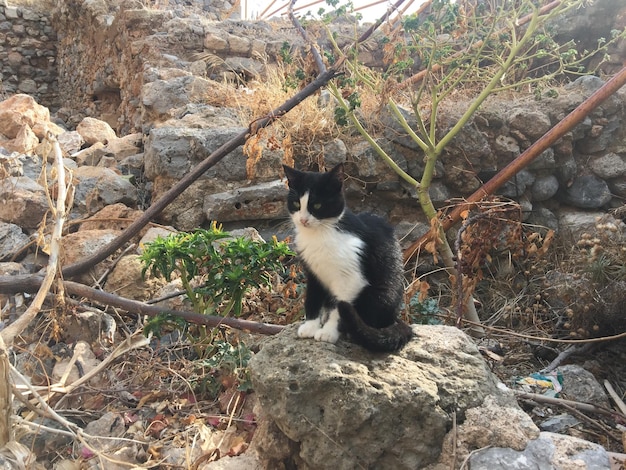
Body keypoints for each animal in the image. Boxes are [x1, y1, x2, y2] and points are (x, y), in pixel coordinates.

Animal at [282, 163, 410, 350]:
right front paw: (310, 326)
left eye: (317, 205)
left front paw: (328, 332)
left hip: (380, 295)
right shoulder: (313, 272)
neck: (320, 233)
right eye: (296, 203)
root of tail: (393, 319)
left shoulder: (352, 278)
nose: (303, 220)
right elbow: (312, 298)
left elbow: (339, 308)